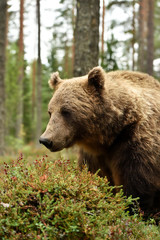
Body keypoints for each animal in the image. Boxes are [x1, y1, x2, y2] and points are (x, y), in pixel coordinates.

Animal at [39, 66, 160, 214]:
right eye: (50, 112)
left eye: (65, 111)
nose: (45, 140)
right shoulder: (95, 155)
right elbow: (96, 175)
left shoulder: (136, 143)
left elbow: (136, 184)